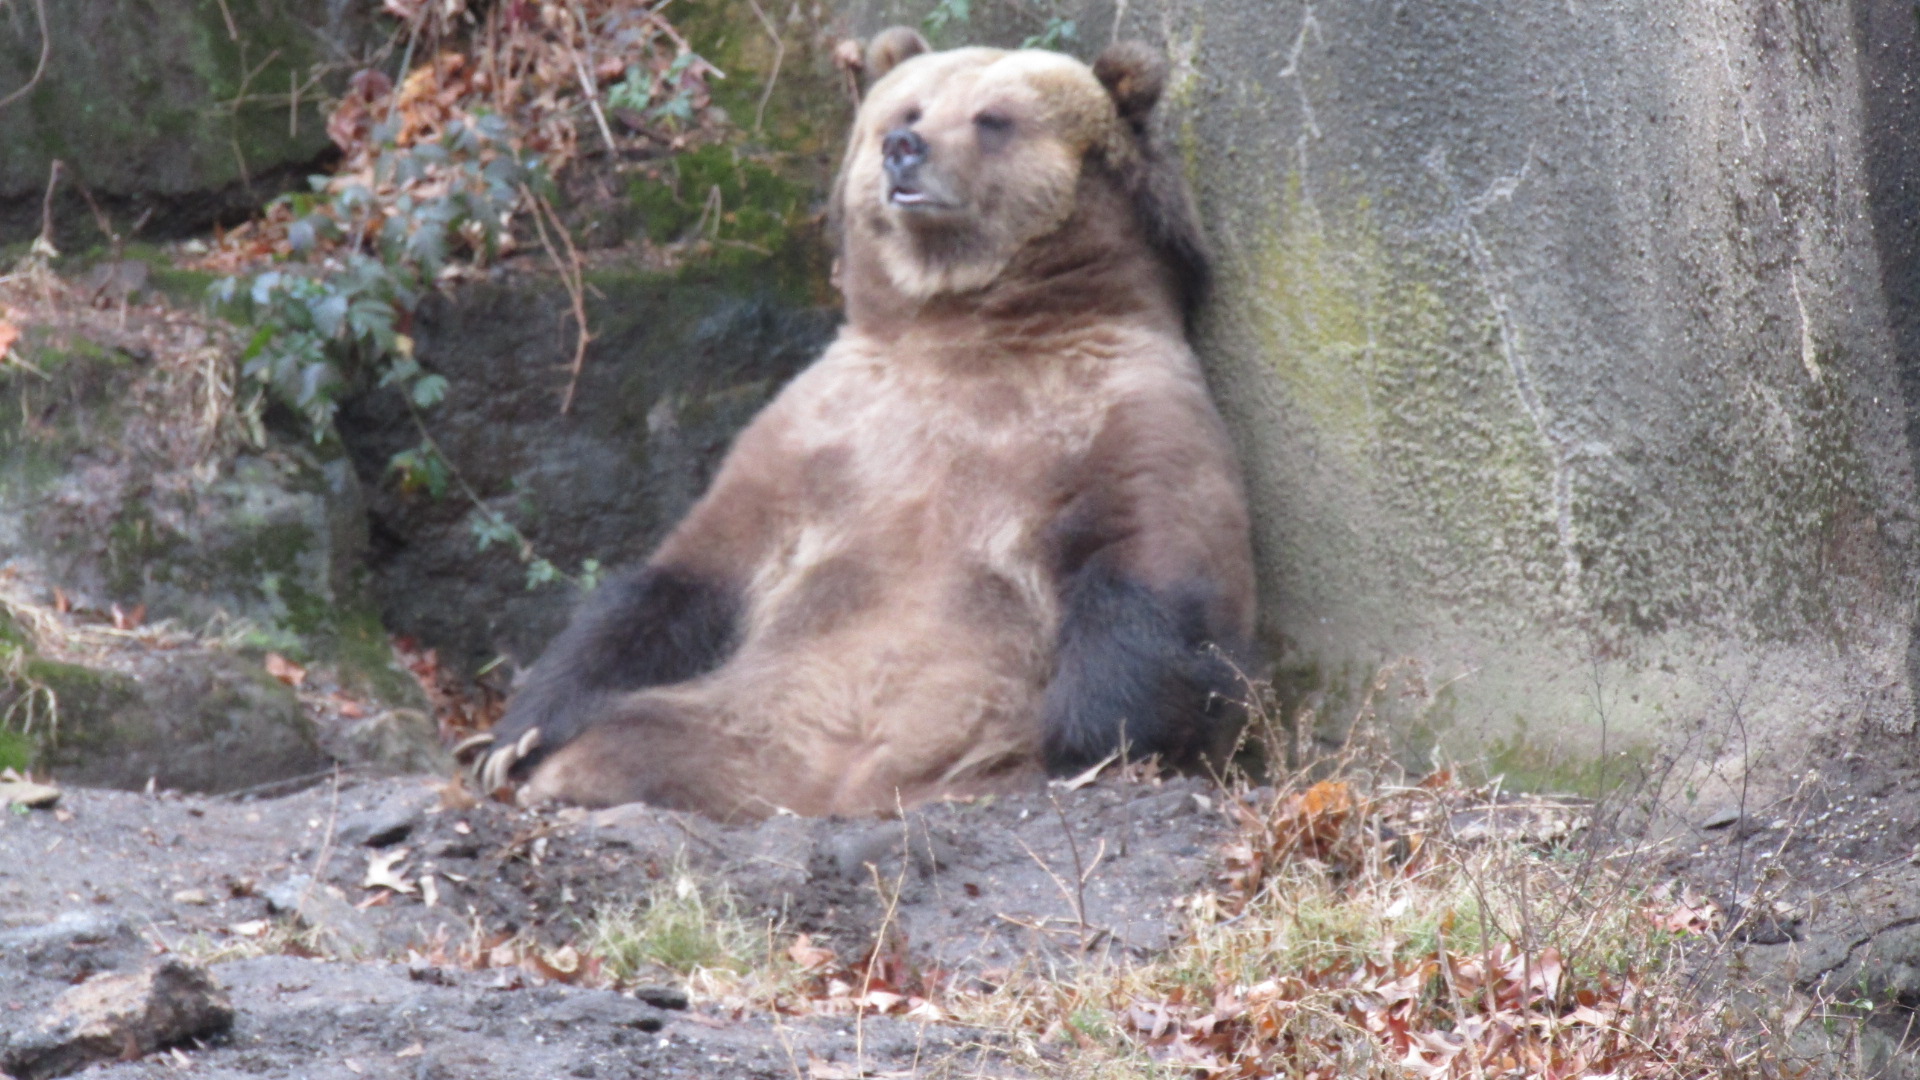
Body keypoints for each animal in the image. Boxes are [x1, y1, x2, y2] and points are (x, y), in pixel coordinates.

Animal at [463, 29, 1256, 820]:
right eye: (908, 107)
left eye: (993, 118)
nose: (904, 148)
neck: (963, 326)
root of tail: (830, 793)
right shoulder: (819, 431)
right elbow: (687, 577)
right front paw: (516, 735)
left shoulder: (1123, 413)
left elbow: (1152, 568)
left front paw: (1093, 741)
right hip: (747, 718)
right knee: (637, 736)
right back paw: (567, 776)